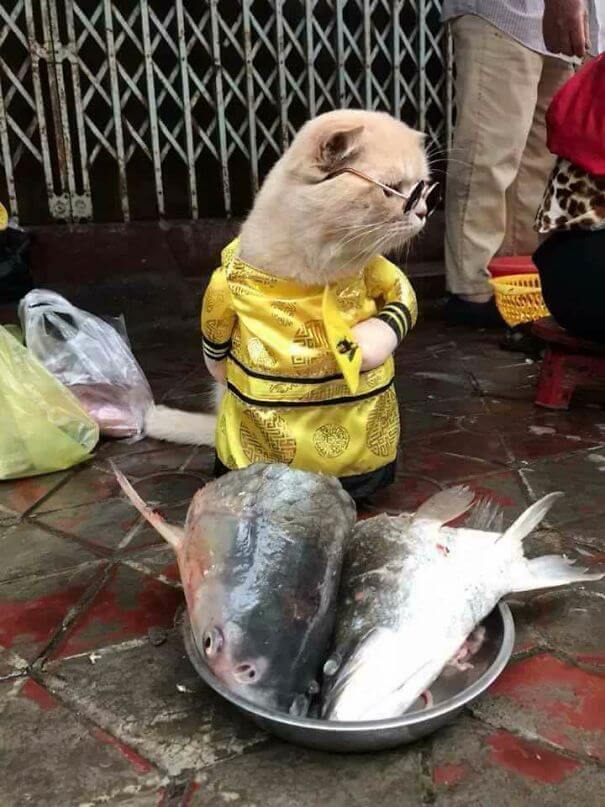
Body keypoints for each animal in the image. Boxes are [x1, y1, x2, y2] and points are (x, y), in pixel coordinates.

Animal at [146, 109, 430, 498]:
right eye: (395, 189)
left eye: (423, 187)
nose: (425, 211)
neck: (321, 261)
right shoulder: (222, 290)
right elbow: (216, 344)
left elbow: (399, 298)